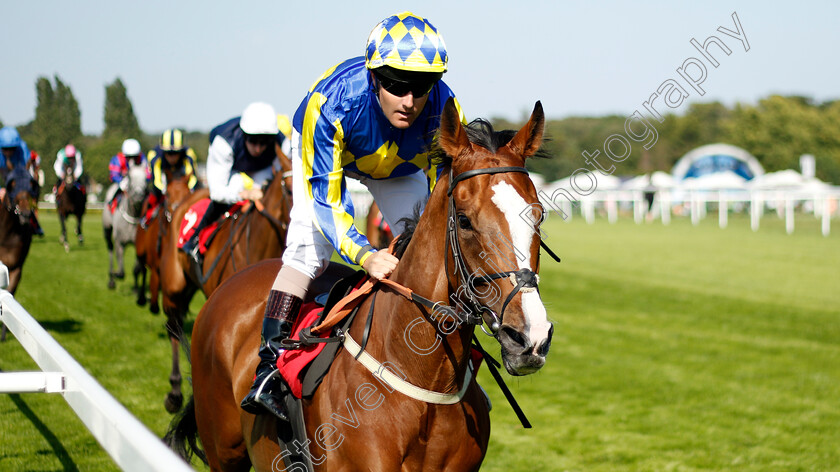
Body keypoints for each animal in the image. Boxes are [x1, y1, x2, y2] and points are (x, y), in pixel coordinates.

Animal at [137, 170, 198, 314]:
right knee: (142, 268)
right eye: (168, 194)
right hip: (140, 250)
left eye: (187, 193)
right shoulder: (156, 265)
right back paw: (141, 298)